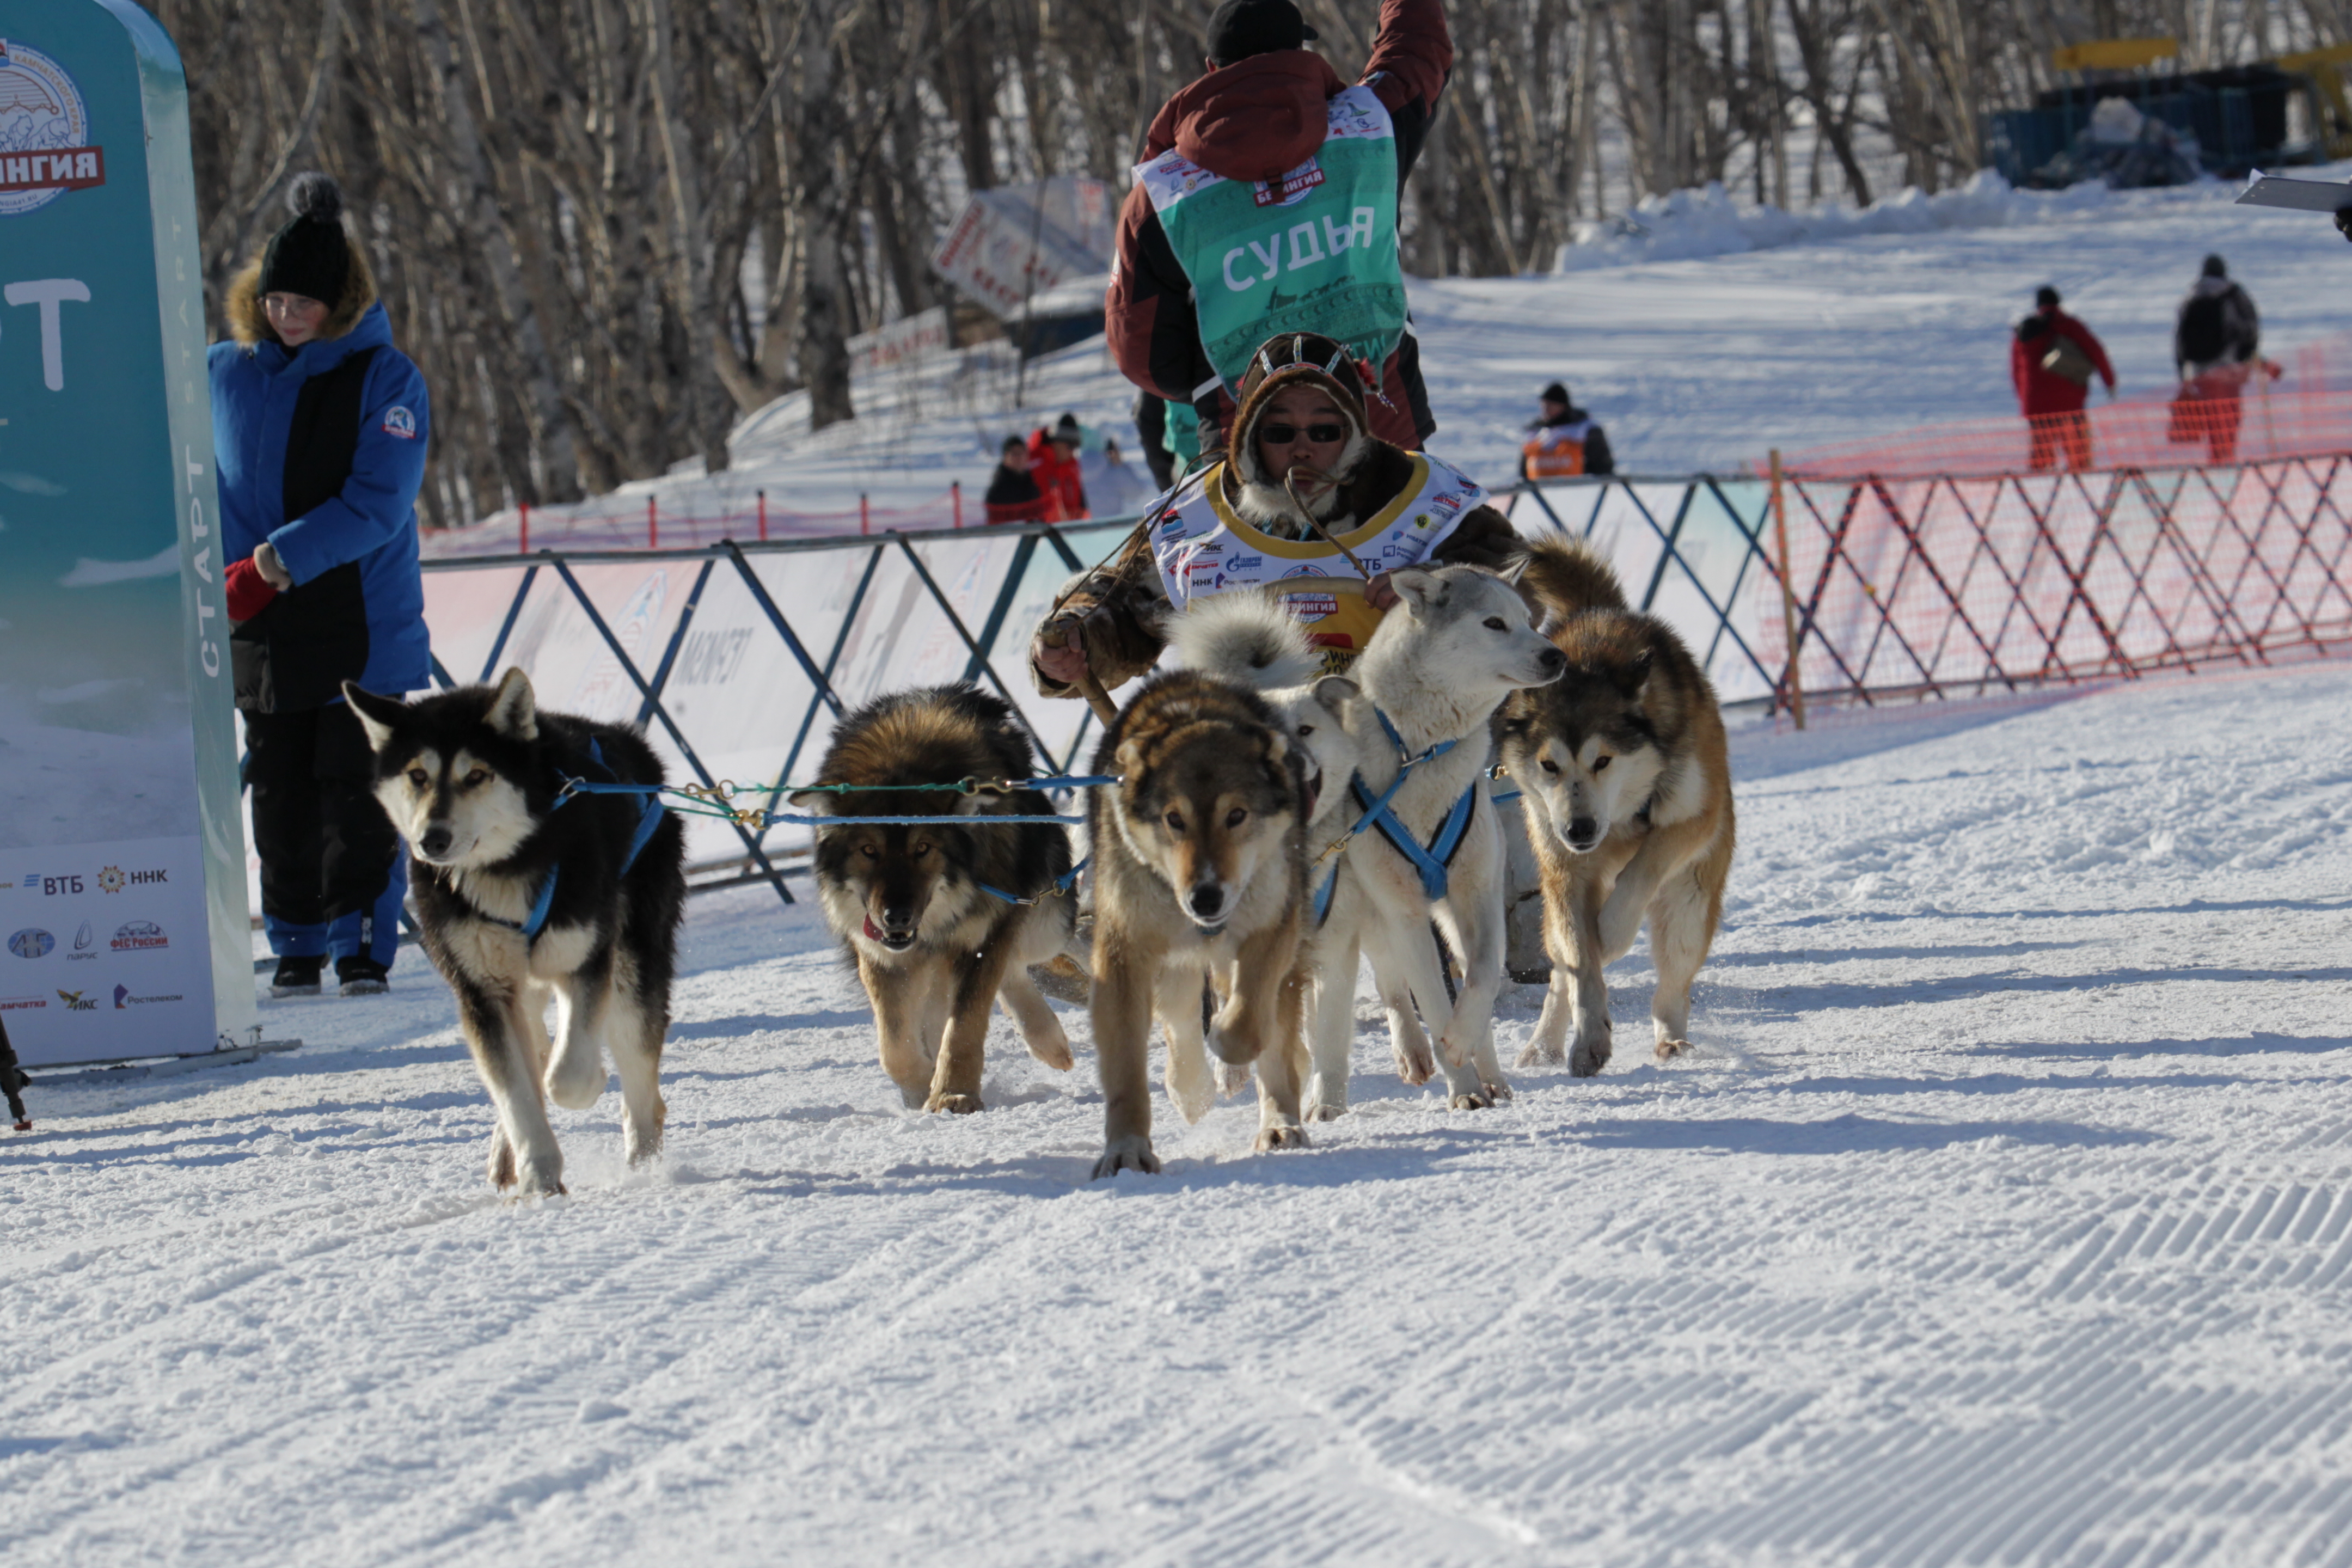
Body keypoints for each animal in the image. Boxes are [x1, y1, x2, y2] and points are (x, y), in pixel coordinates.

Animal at [343, 667, 687, 1194]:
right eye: (418, 776)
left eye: (476, 775)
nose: (431, 840)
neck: (503, 867)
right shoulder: (482, 991)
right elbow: (515, 1091)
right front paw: (540, 1176)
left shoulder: (585, 961)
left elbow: (567, 1077)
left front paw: (585, 1082)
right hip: (519, 981)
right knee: (533, 1049)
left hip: (631, 969)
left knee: (638, 1080)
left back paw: (644, 1163)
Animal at [795, 686, 1077, 1114]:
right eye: (869, 850)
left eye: (923, 848)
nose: (895, 917)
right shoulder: (881, 956)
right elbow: (895, 1050)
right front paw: (921, 1086)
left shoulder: (982, 936)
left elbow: (963, 1027)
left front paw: (952, 1093)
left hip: (1044, 922)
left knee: (1015, 961)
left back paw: (1048, 1039)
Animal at [1086, 672, 1317, 1175]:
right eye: (1175, 819)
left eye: (1237, 815)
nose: (1205, 897)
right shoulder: (1124, 953)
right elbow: (1126, 1068)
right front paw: (1127, 1150)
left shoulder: (1271, 928)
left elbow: (1247, 1024)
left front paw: (1231, 1052)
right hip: (1174, 964)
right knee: (1183, 1022)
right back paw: (1191, 1090)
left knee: (1272, 1039)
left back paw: (1279, 1123)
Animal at [1496, 541, 1740, 1081]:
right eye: (1549, 765)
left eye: (1603, 760)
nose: (1580, 829)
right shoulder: (1564, 868)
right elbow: (1580, 967)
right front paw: (1589, 1039)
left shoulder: (1693, 818)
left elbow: (1640, 873)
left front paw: (1611, 931)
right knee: (1561, 972)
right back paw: (1543, 1045)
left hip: (1690, 904)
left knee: (1672, 986)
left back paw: (1670, 1039)